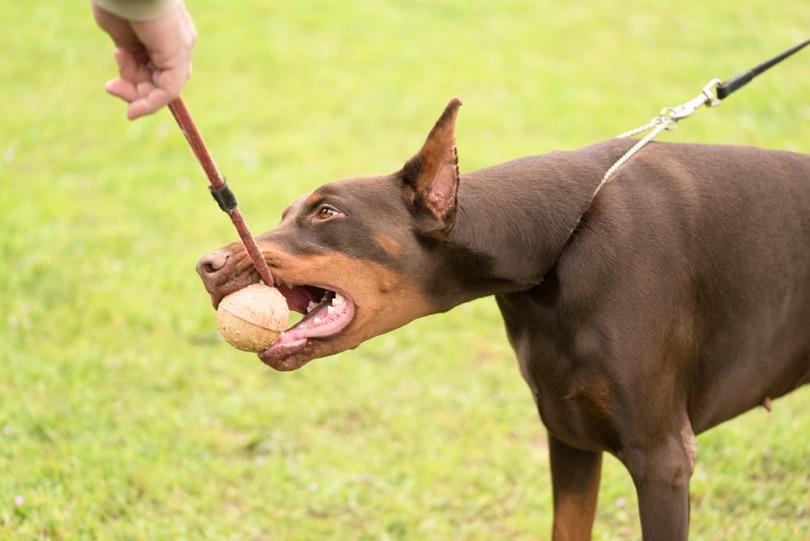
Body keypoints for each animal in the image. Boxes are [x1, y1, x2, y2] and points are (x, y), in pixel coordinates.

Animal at [197, 99, 808, 536]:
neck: (558, 246)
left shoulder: (663, 461)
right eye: (285, 214)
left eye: (327, 212)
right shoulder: (570, 434)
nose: (206, 265)